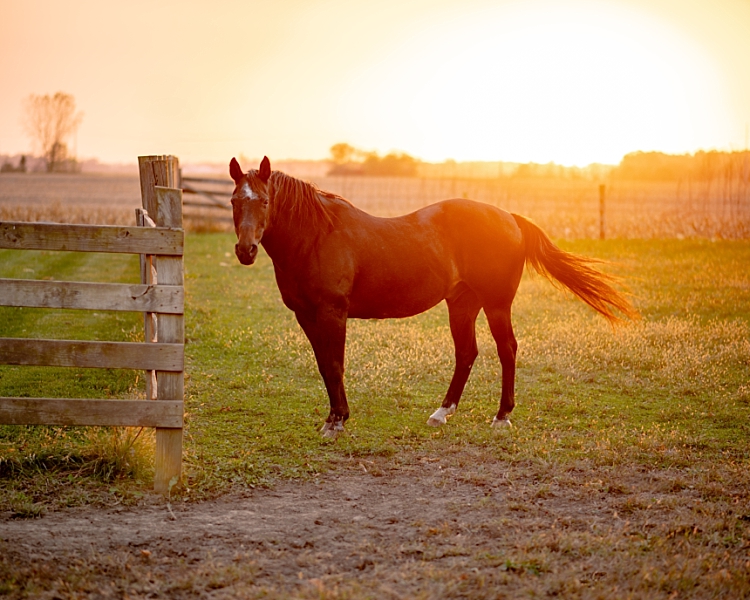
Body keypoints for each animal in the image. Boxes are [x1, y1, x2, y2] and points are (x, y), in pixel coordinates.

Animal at [231, 155, 640, 436]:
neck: (319, 235)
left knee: (507, 350)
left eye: (265, 201)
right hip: (462, 304)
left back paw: (502, 416)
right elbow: (323, 366)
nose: (245, 251)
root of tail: (509, 217)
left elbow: (334, 366)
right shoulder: (306, 316)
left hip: (496, 304)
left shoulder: (333, 312)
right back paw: (442, 412)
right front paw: (333, 417)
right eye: (235, 201)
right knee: (467, 354)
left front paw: (337, 422)